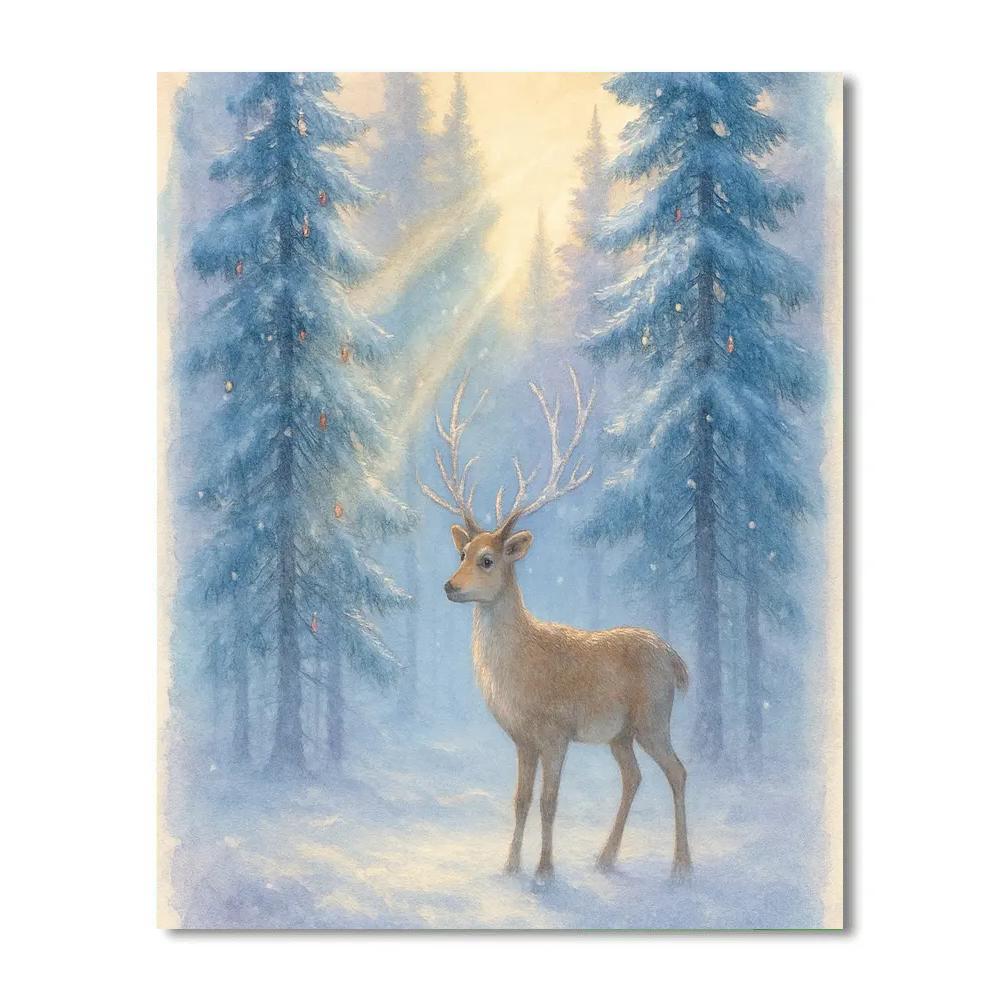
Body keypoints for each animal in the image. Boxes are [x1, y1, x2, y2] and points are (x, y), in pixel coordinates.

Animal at [420, 368, 692, 882]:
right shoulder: (522, 738)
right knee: (633, 777)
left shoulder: (555, 732)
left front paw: (544, 872)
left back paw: (682, 866)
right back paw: (606, 858)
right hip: (620, 733)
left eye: (488, 560)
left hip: (653, 717)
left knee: (677, 771)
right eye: (461, 552)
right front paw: (510, 866)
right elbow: (521, 800)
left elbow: (549, 802)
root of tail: (674, 657)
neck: (519, 675)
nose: (449, 586)